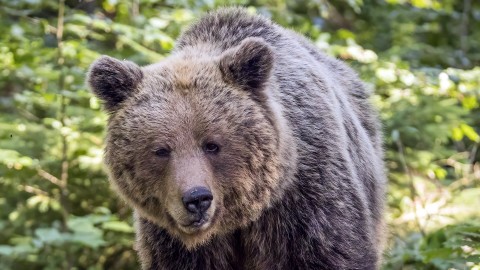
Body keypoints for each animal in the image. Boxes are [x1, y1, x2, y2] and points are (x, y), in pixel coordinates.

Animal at [86, 7, 386, 268]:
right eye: (161, 149)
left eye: (212, 145)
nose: (197, 199)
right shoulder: (170, 238)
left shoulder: (306, 201)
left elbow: (331, 251)